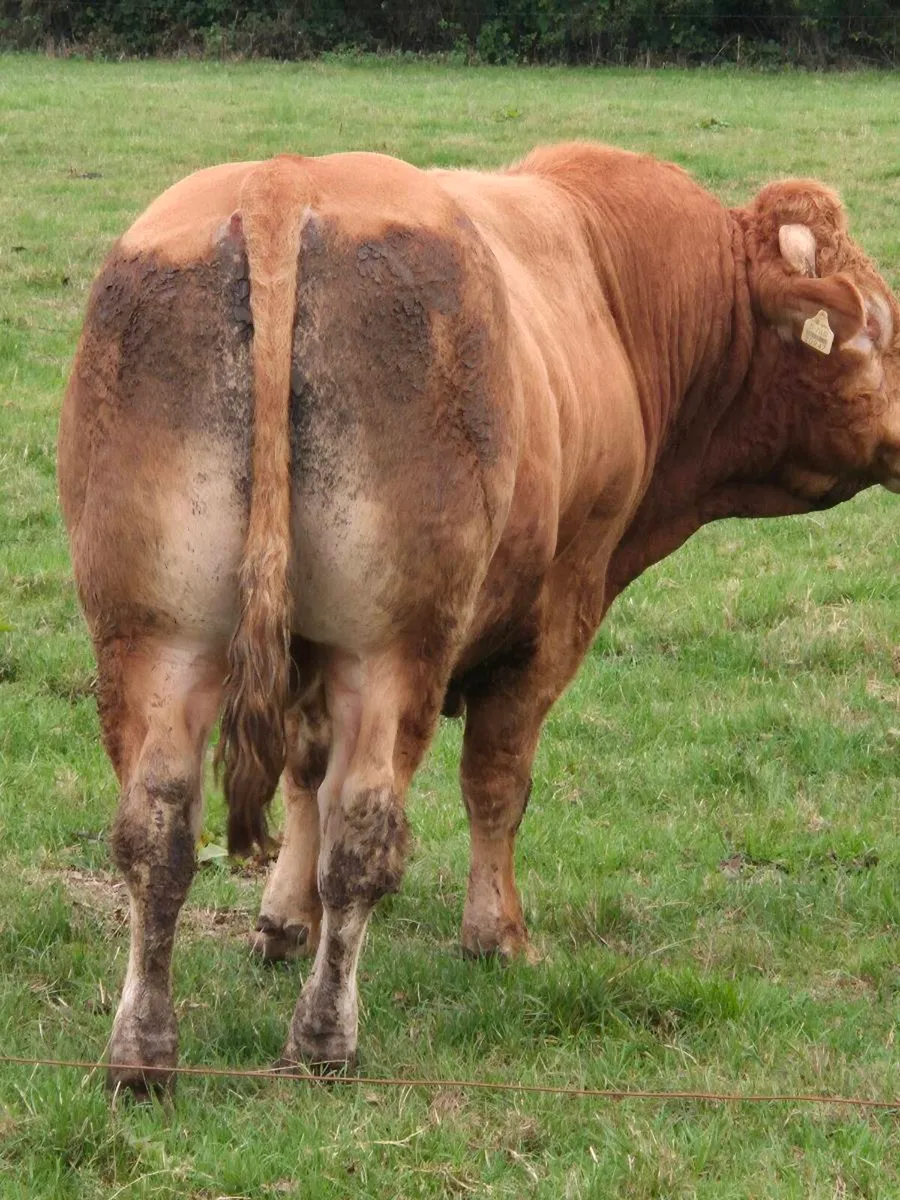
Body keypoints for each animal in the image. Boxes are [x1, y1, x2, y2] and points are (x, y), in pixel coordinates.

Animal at [57, 142, 900, 1095]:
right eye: (875, 328)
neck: (620, 288)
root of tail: (285, 180)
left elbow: (306, 773)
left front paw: (282, 919)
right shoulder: (557, 613)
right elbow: (497, 783)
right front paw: (497, 936)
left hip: (155, 638)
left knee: (156, 829)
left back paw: (142, 1055)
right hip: (393, 646)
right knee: (365, 829)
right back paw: (324, 1038)